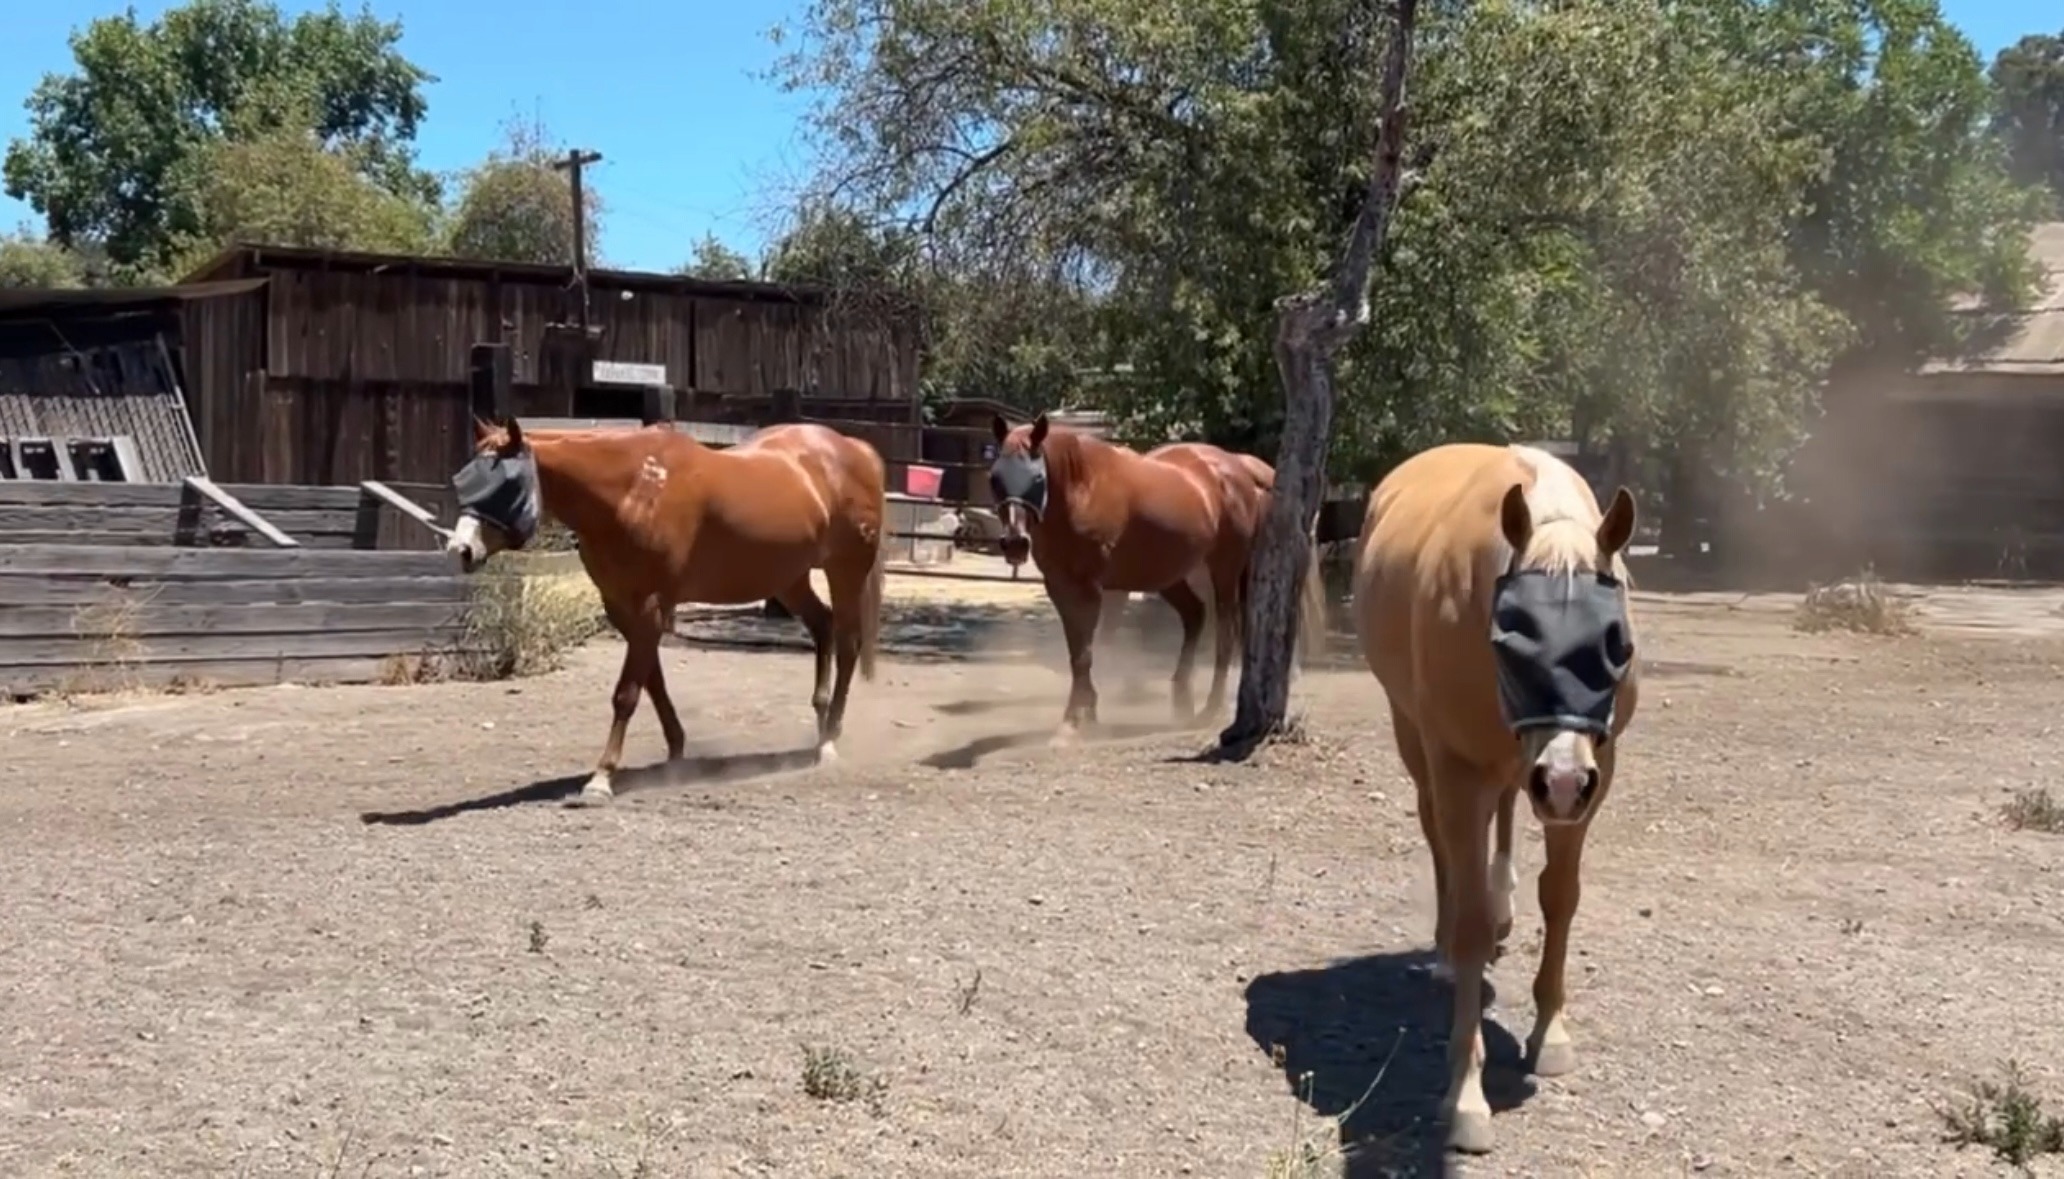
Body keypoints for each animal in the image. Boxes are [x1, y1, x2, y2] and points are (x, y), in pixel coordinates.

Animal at [444, 417, 888, 804]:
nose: (461, 550)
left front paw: (601, 778)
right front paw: (676, 751)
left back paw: (829, 741)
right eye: (465, 479)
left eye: (504, 485)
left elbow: (627, 692)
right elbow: (652, 682)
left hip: (845, 571)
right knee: (822, 625)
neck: (635, 490)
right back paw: (820, 724)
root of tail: (854, 449)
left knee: (847, 642)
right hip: (787, 578)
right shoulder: (623, 607)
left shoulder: (649, 606)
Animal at [988, 413, 1327, 736]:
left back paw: (1210, 709)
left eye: (1037, 477)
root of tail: (1237, 467)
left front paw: (1074, 722)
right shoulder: (1060, 587)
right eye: (995, 478)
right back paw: (1182, 699)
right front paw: (1087, 713)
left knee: (1225, 632)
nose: (1015, 543)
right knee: (1195, 616)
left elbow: (1086, 652)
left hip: (1224, 570)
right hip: (1168, 576)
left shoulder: (1094, 589)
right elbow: (1079, 652)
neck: (1082, 489)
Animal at [1350, 442, 1640, 1155]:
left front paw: (1550, 1034)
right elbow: (1472, 921)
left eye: (1615, 642)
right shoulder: (1458, 768)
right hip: (1416, 736)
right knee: (1439, 838)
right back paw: (1444, 949)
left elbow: (1560, 898)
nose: (1561, 781)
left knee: (1507, 811)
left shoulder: (1596, 771)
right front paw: (1466, 1099)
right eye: (1512, 638)